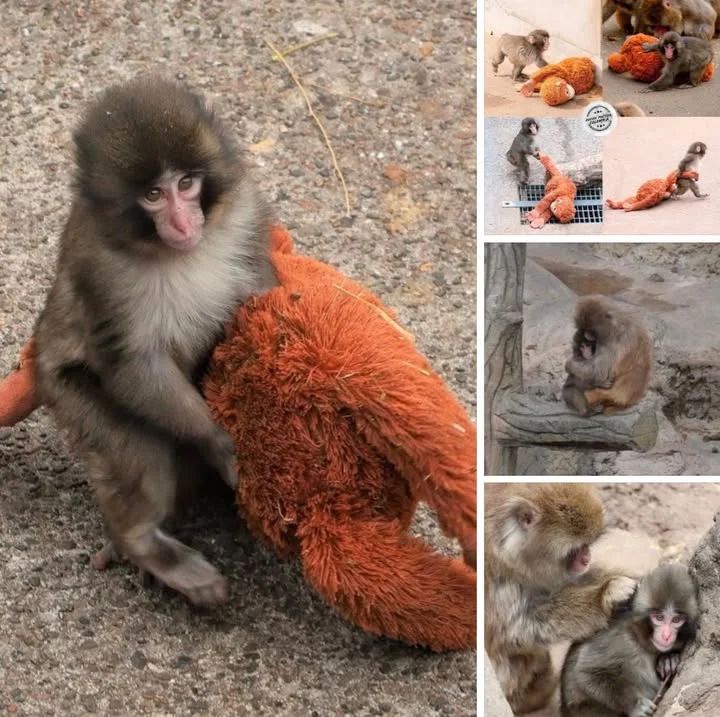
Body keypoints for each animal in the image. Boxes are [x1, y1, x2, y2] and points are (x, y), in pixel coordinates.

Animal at [33, 76, 278, 607]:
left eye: (186, 184)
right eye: (152, 194)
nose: (184, 224)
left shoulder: (245, 213)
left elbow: (262, 291)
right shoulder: (100, 270)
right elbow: (132, 364)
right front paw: (219, 443)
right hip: (68, 394)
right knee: (140, 453)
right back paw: (142, 543)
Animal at [485, 483, 637, 715]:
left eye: (587, 545)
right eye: (576, 549)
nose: (586, 558)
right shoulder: (498, 582)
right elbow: (515, 630)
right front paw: (604, 596)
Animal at [560, 563, 698, 717]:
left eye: (676, 620)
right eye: (659, 617)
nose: (666, 635)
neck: (640, 639)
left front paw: (668, 660)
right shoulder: (618, 639)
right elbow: (587, 672)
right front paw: (636, 705)